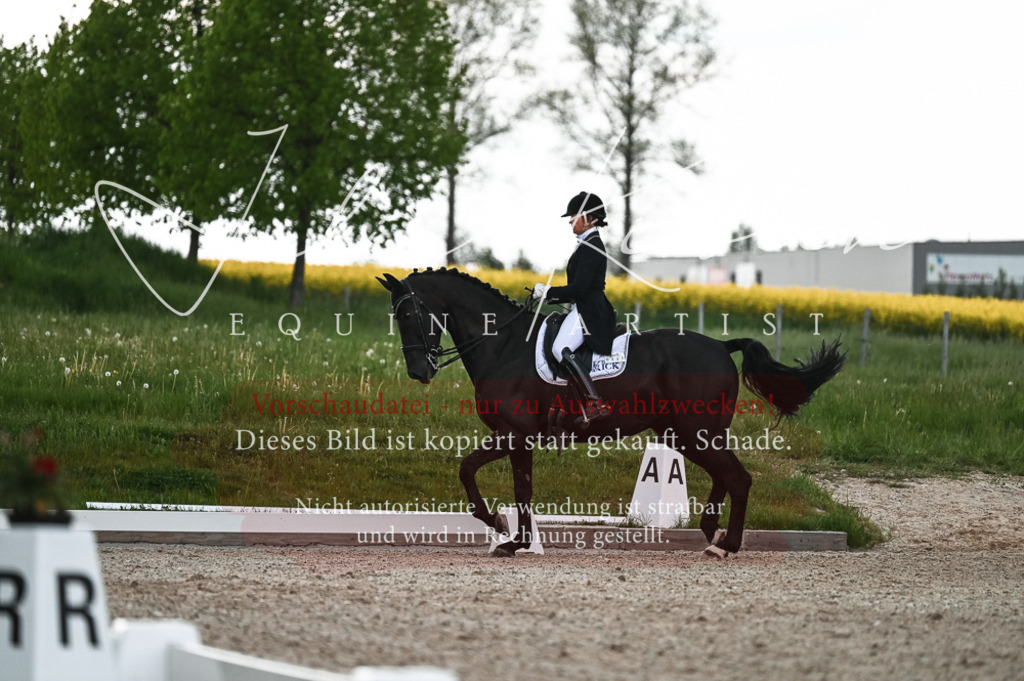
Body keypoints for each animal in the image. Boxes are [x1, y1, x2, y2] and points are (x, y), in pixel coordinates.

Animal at [377, 268, 844, 558]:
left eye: (412, 312)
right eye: (395, 315)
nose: (419, 371)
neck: (502, 345)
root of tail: (720, 345)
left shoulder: (514, 433)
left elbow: (474, 471)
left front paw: (501, 527)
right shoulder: (518, 438)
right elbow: (518, 488)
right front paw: (515, 539)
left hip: (695, 430)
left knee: (737, 477)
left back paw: (725, 544)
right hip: (682, 433)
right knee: (723, 475)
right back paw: (713, 533)